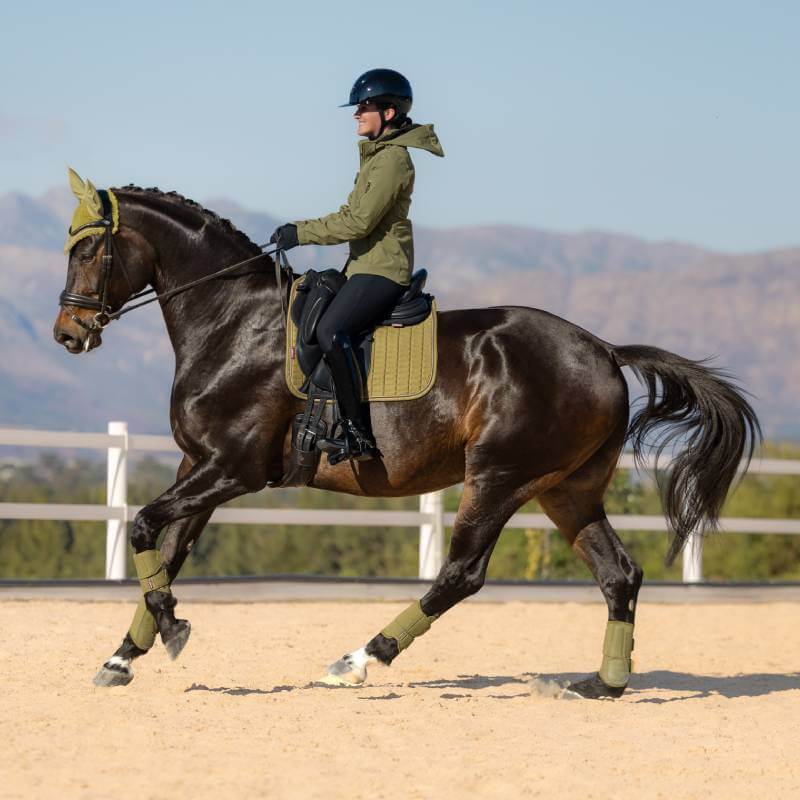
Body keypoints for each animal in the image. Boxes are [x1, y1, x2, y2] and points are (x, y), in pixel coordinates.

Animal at [53, 180, 760, 699]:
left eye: (87, 251)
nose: (68, 333)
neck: (232, 321)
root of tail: (606, 351)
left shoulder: (232, 469)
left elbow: (145, 527)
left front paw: (170, 628)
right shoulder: (197, 466)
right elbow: (167, 551)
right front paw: (125, 655)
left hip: (499, 478)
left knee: (461, 574)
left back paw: (358, 660)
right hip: (567, 489)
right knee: (619, 574)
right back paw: (602, 685)